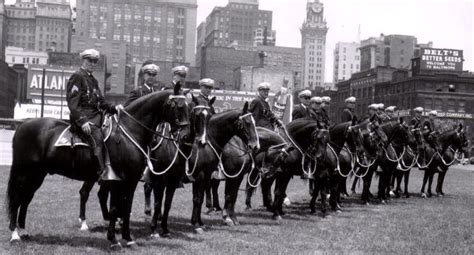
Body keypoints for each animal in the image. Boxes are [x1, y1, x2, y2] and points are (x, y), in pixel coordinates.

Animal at [6, 84, 189, 248]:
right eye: (179, 106)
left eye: (188, 106)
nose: (185, 136)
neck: (129, 132)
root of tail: (22, 126)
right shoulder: (118, 180)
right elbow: (115, 208)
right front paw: (113, 240)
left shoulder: (131, 181)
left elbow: (126, 207)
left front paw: (128, 238)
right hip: (24, 173)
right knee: (16, 199)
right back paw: (15, 235)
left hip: (37, 174)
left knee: (26, 198)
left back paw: (23, 231)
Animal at [187, 103, 260, 233]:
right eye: (247, 122)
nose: (255, 146)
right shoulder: (233, 176)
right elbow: (229, 196)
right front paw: (228, 218)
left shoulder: (237, 177)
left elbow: (232, 196)